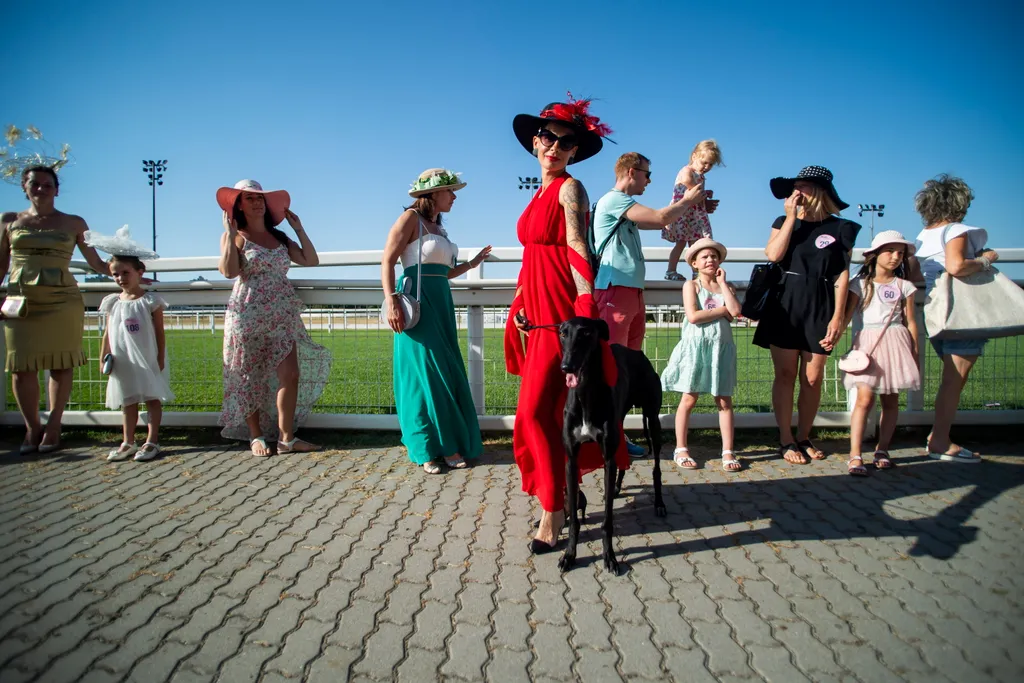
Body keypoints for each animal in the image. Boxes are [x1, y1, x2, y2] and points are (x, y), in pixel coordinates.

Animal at [561, 317, 663, 573]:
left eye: (586, 333)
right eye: (563, 333)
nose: (566, 367)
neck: (585, 393)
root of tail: (639, 354)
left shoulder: (606, 458)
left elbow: (607, 520)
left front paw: (610, 557)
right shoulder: (571, 459)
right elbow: (574, 518)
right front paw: (569, 555)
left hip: (653, 419)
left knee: (656, 467)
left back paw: (659, 503)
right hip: (621, 420)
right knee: (622, 462)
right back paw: (617, 488)